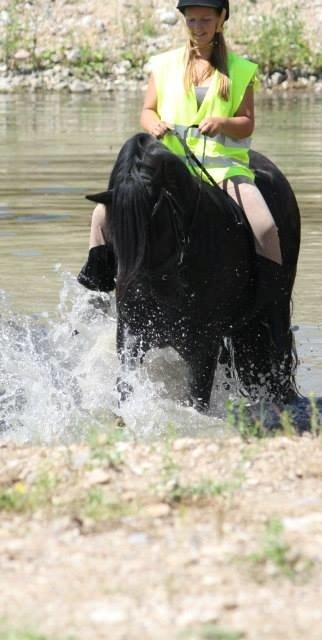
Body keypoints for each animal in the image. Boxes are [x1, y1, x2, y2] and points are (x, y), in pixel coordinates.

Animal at [79, 133, 300, 412]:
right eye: (112, 231)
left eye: (151, 222)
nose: (131, 290)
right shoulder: (132, 333)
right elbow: (126, 385)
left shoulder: (202, 346)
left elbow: (196, 400)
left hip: (275, 309)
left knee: (278, 361)